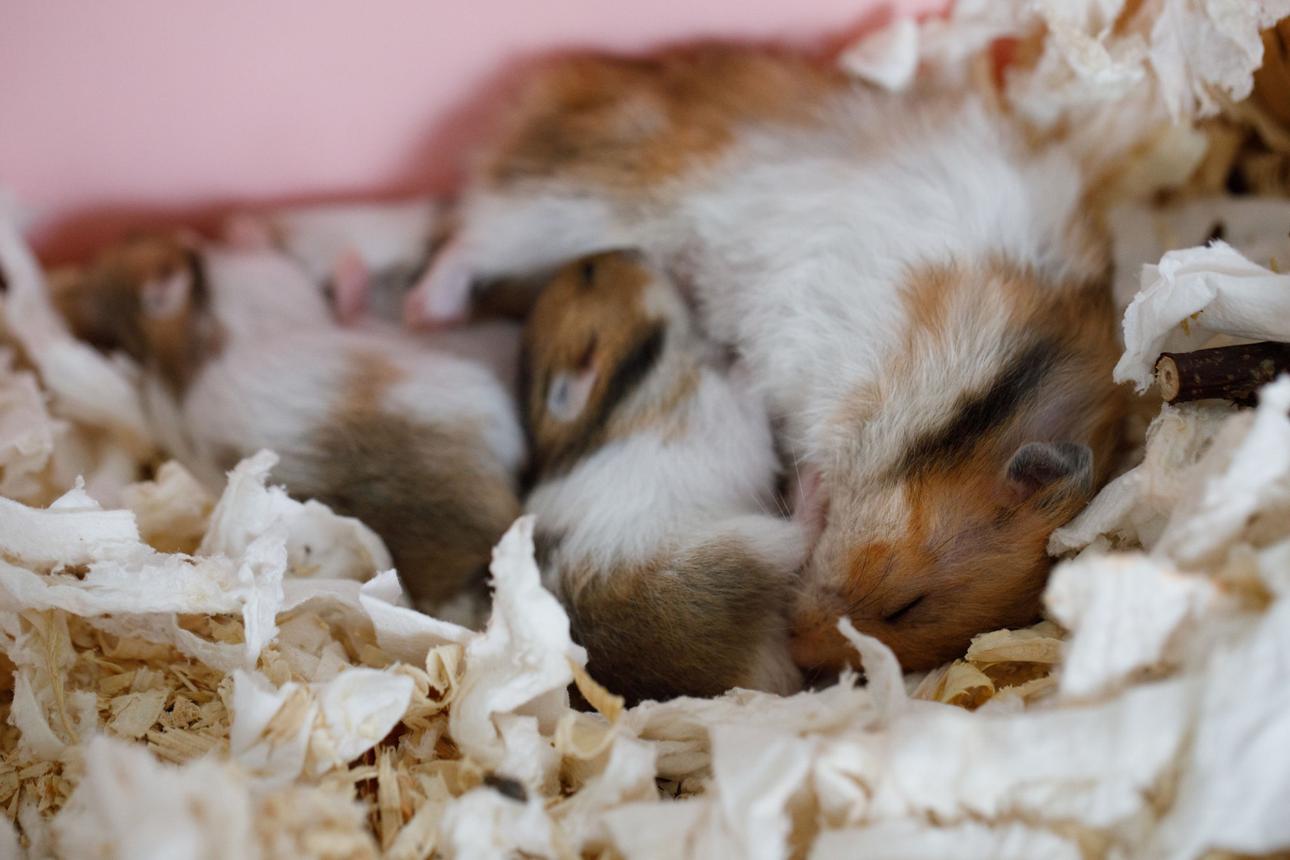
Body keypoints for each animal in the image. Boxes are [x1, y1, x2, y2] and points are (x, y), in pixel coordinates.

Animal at [522, 250, 806, 703]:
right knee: (799, 538)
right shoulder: (717, 405)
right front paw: (738, 357)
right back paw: (811, 485)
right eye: (590, 273)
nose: (636, 251)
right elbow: (735, 383)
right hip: (739, 547)